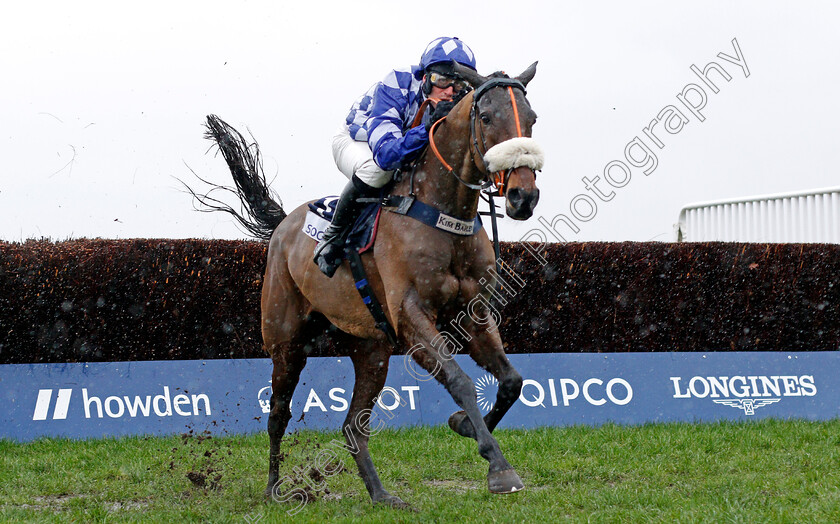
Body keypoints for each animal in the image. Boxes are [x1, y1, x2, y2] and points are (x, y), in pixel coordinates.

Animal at [204, 61, 544, 508]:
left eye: (533, 119)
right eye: (486, 117)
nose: (523, 197)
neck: (440, 211)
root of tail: (283, 225)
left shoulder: (473, 315)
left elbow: (511, 381)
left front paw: (465, 425)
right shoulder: (411, 317)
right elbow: (460, 381)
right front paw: (499, 467)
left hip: (371, 349)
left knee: (353, 425)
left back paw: (381, 495)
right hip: (286, 342)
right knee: (278, 413)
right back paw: (275, 488)